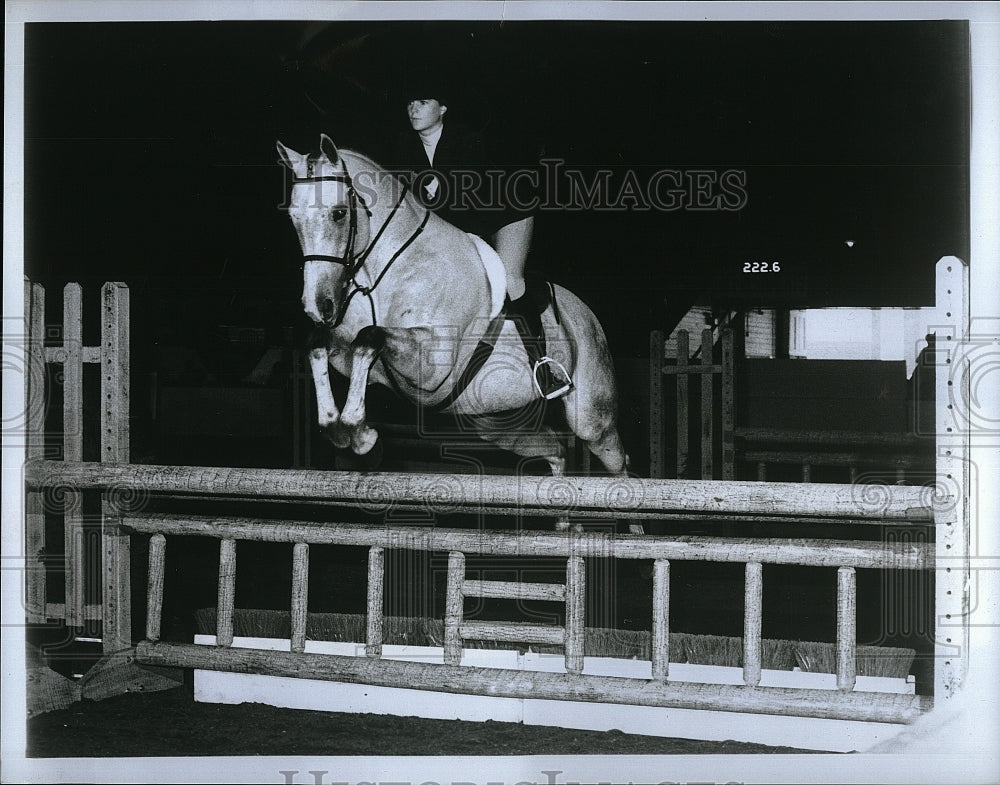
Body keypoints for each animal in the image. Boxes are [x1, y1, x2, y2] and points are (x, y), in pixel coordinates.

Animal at [276, 135, 632, 528]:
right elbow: (321, 346)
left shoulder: (431, 366)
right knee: (555, 450)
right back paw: (564, 521)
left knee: (619, 465)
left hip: (592, 419)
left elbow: (369, 337)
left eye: (339, 213)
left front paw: (361, 434)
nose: (318, 306)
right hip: (494, 423)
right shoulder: (351, 353)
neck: (383, 270)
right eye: (293, 218)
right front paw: (338, 428)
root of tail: (585, 313)